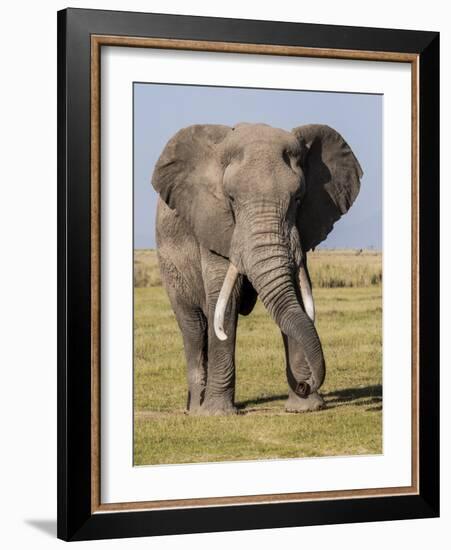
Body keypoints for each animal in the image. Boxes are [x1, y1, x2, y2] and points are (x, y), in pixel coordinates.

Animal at [152, 121, 364, 414]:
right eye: (230, 199)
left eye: (298, 199)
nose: (306, 383)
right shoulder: (214, 224)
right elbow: (225, 302)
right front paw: (217, 414)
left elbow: (295, 295)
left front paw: (305, 408)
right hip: (168, 262)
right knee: (194, 326)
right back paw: (196, 409)